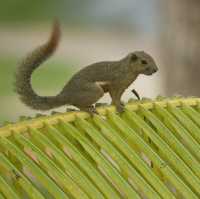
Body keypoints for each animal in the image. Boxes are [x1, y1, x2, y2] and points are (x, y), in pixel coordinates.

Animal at [14, 21, 158, 113]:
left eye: (152, 57)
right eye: (144, 62)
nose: (156, 69)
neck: (127, 69)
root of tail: (64, 95)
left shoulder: (122, 87)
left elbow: (118, 96)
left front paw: (120, 103)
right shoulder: (116, 83)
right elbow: (114, 96)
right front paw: (118, 106)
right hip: (94, 90)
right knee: (75, 103)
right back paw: (87, 109)